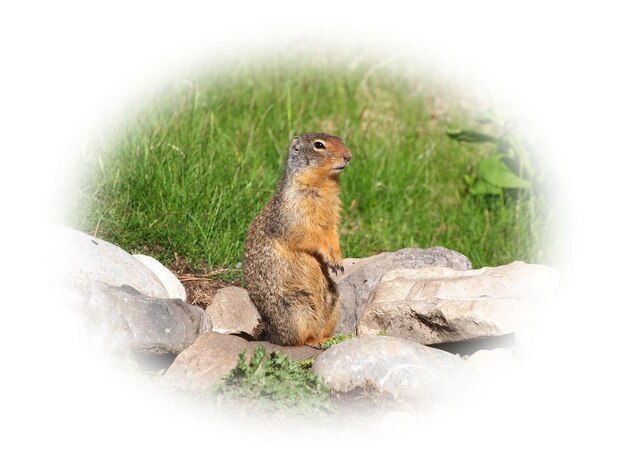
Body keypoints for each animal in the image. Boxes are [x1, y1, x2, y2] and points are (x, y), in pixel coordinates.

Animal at [243, 132, 352, 346]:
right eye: (319, 145)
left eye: (339, 139)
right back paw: (312, 340)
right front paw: (329, 257)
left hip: (333, 300)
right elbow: (308, 236)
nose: (348, 156)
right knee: (295, 339)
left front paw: (338, 259)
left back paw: (329, 338)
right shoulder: (293, 211)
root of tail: (272, 332)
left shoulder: (332, 215)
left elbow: (332, 234)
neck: (322, 185)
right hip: (296, 307)